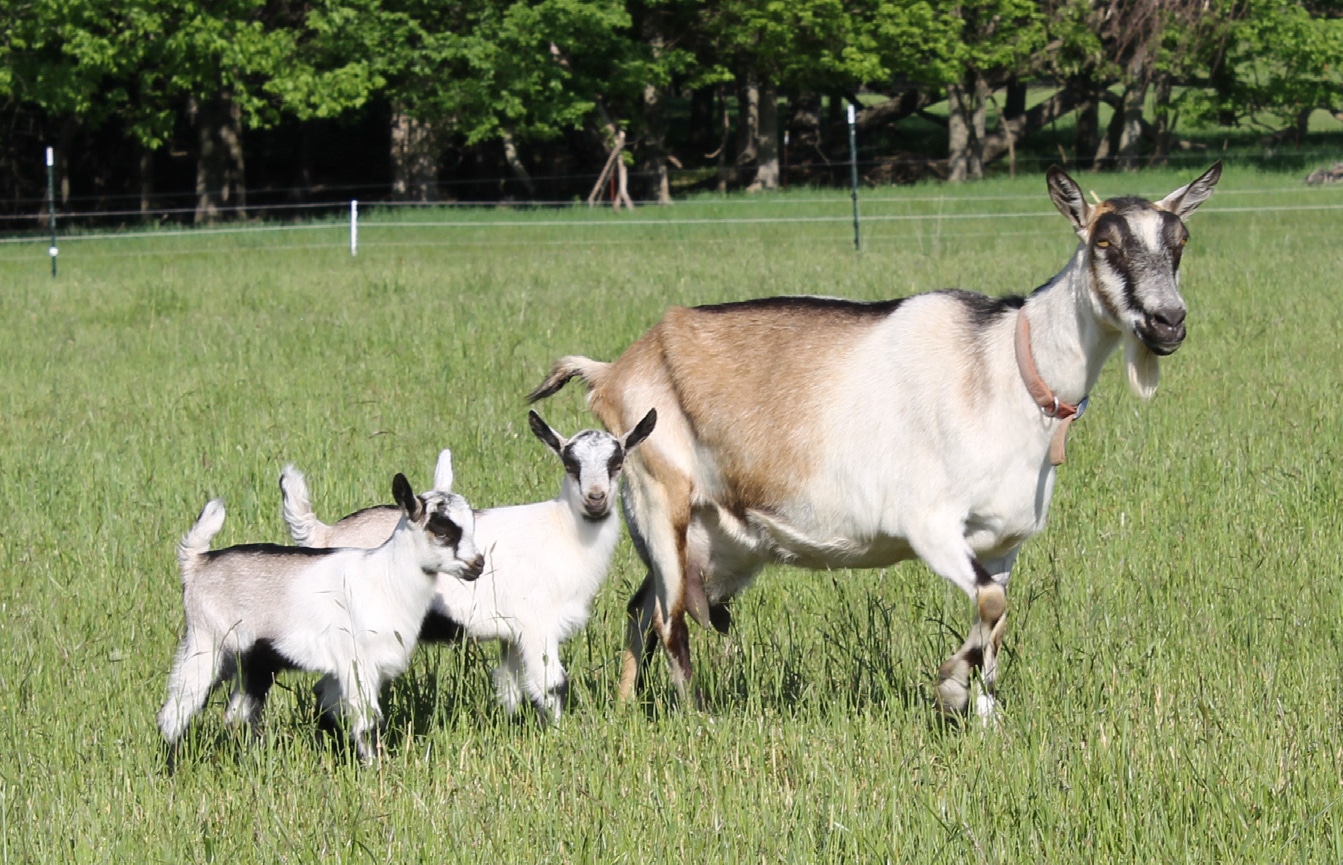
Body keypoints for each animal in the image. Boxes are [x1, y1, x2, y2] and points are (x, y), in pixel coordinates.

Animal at [157, 470, 485, 765]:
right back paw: (171, 768)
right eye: (441, 532)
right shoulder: (357, 662)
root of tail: (197, 563)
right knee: (176, 709)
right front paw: (377, 771)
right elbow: (367, 721)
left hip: (255, 660)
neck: (384, 578)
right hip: (208, 643)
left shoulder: (345, 669)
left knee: (238, 714)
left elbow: (331, 712)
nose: (478, 565)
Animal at [281, 409, 657, 722]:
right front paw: (560, 734)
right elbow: (552, 686)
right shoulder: (537, 624)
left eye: (617, 462)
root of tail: (324, 534)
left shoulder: (513, 635)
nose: (596, 500)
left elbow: (509, 688)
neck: (563, 531)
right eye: (570, 463)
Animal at [527, 162, 1222, 718]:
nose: (1168, 322)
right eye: (1105, 242)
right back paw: (698, 717)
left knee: (640, 609)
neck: (1003, 366)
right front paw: (949, 686)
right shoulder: (930, 523)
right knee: (670, 623)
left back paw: (626, 708)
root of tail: (614, 369)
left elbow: (997, 620)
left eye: (1180, 243)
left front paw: (985, 712)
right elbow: (990, 603)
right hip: (660, 494)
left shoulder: (1005, 542)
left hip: (695, 532)